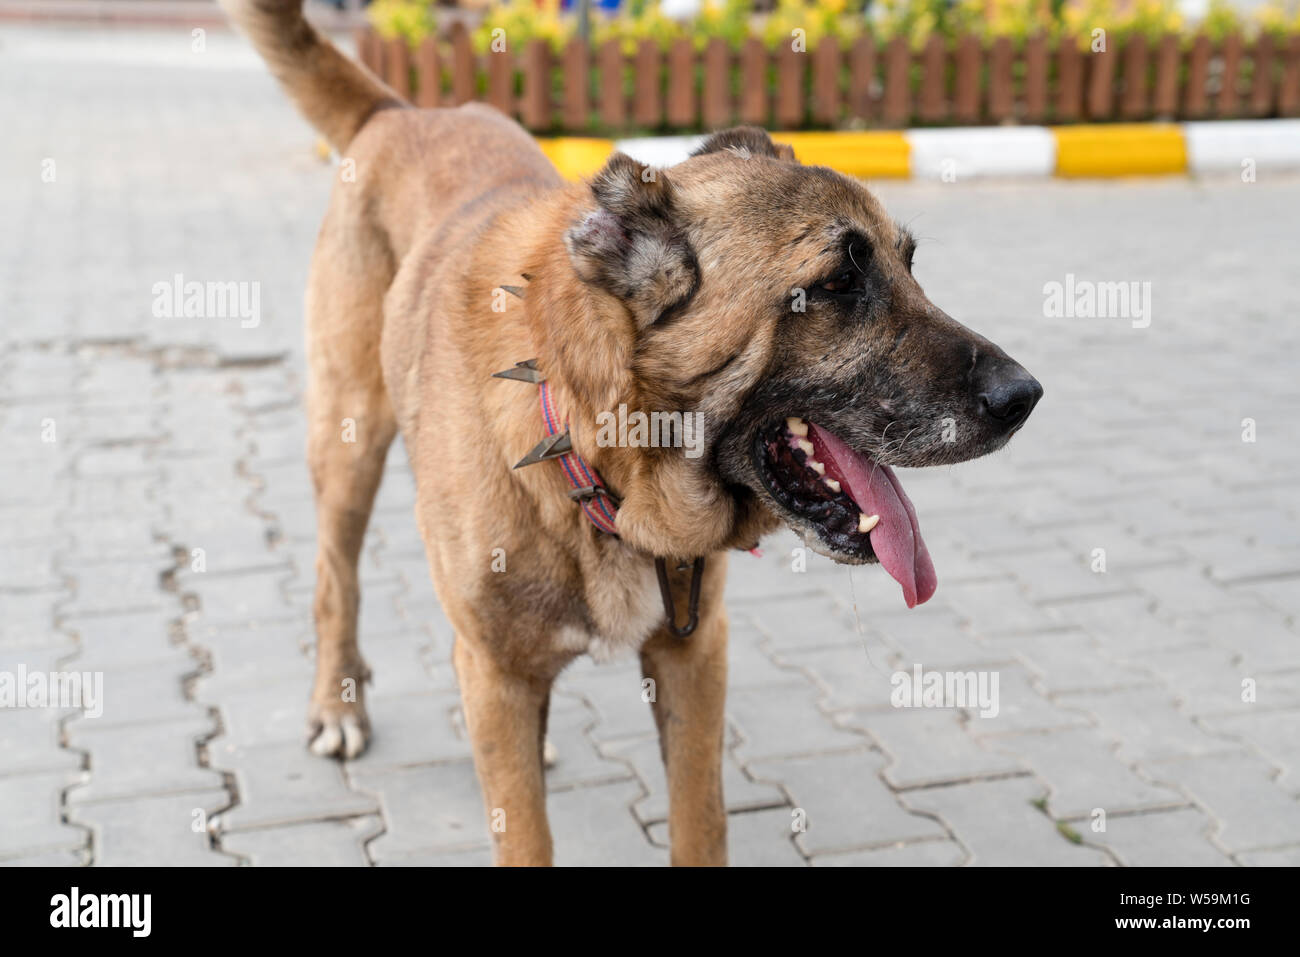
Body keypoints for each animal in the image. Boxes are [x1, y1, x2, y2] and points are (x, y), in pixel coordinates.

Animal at [220, 0, 1034, 868]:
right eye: (839, 283)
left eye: (911, 265)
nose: (1025, 395)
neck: (591, 451)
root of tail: (403, 112)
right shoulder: (500, 669)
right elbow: (525, 833)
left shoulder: (694, 654)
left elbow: (699, 822)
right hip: (348, 448)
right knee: (334, 579)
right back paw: (338, 705)